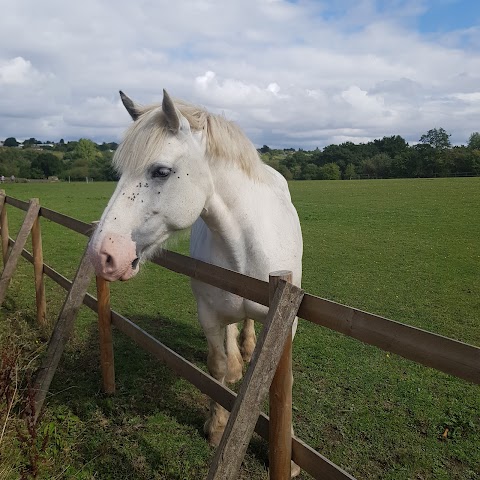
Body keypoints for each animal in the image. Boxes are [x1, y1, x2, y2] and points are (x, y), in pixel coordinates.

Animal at [88, 89, 302, 468]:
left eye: (161, 171)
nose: (103, 254)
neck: (243, 245)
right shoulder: (210, 315)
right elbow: (216, 368)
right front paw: (217, 426)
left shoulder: (285, 322)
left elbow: (284, 383)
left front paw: (289, 459)